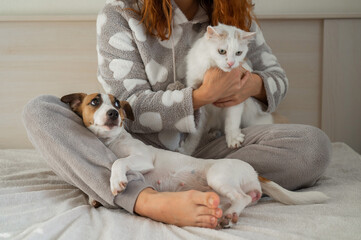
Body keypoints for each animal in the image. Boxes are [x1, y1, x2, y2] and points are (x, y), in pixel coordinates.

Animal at [179, 23, 272, 156]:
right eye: (222, 51)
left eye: (238, 53)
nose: (231, 63)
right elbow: (196, 131)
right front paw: (187, 150)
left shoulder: (236, 98)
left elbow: (232, 121)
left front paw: (233, 139)